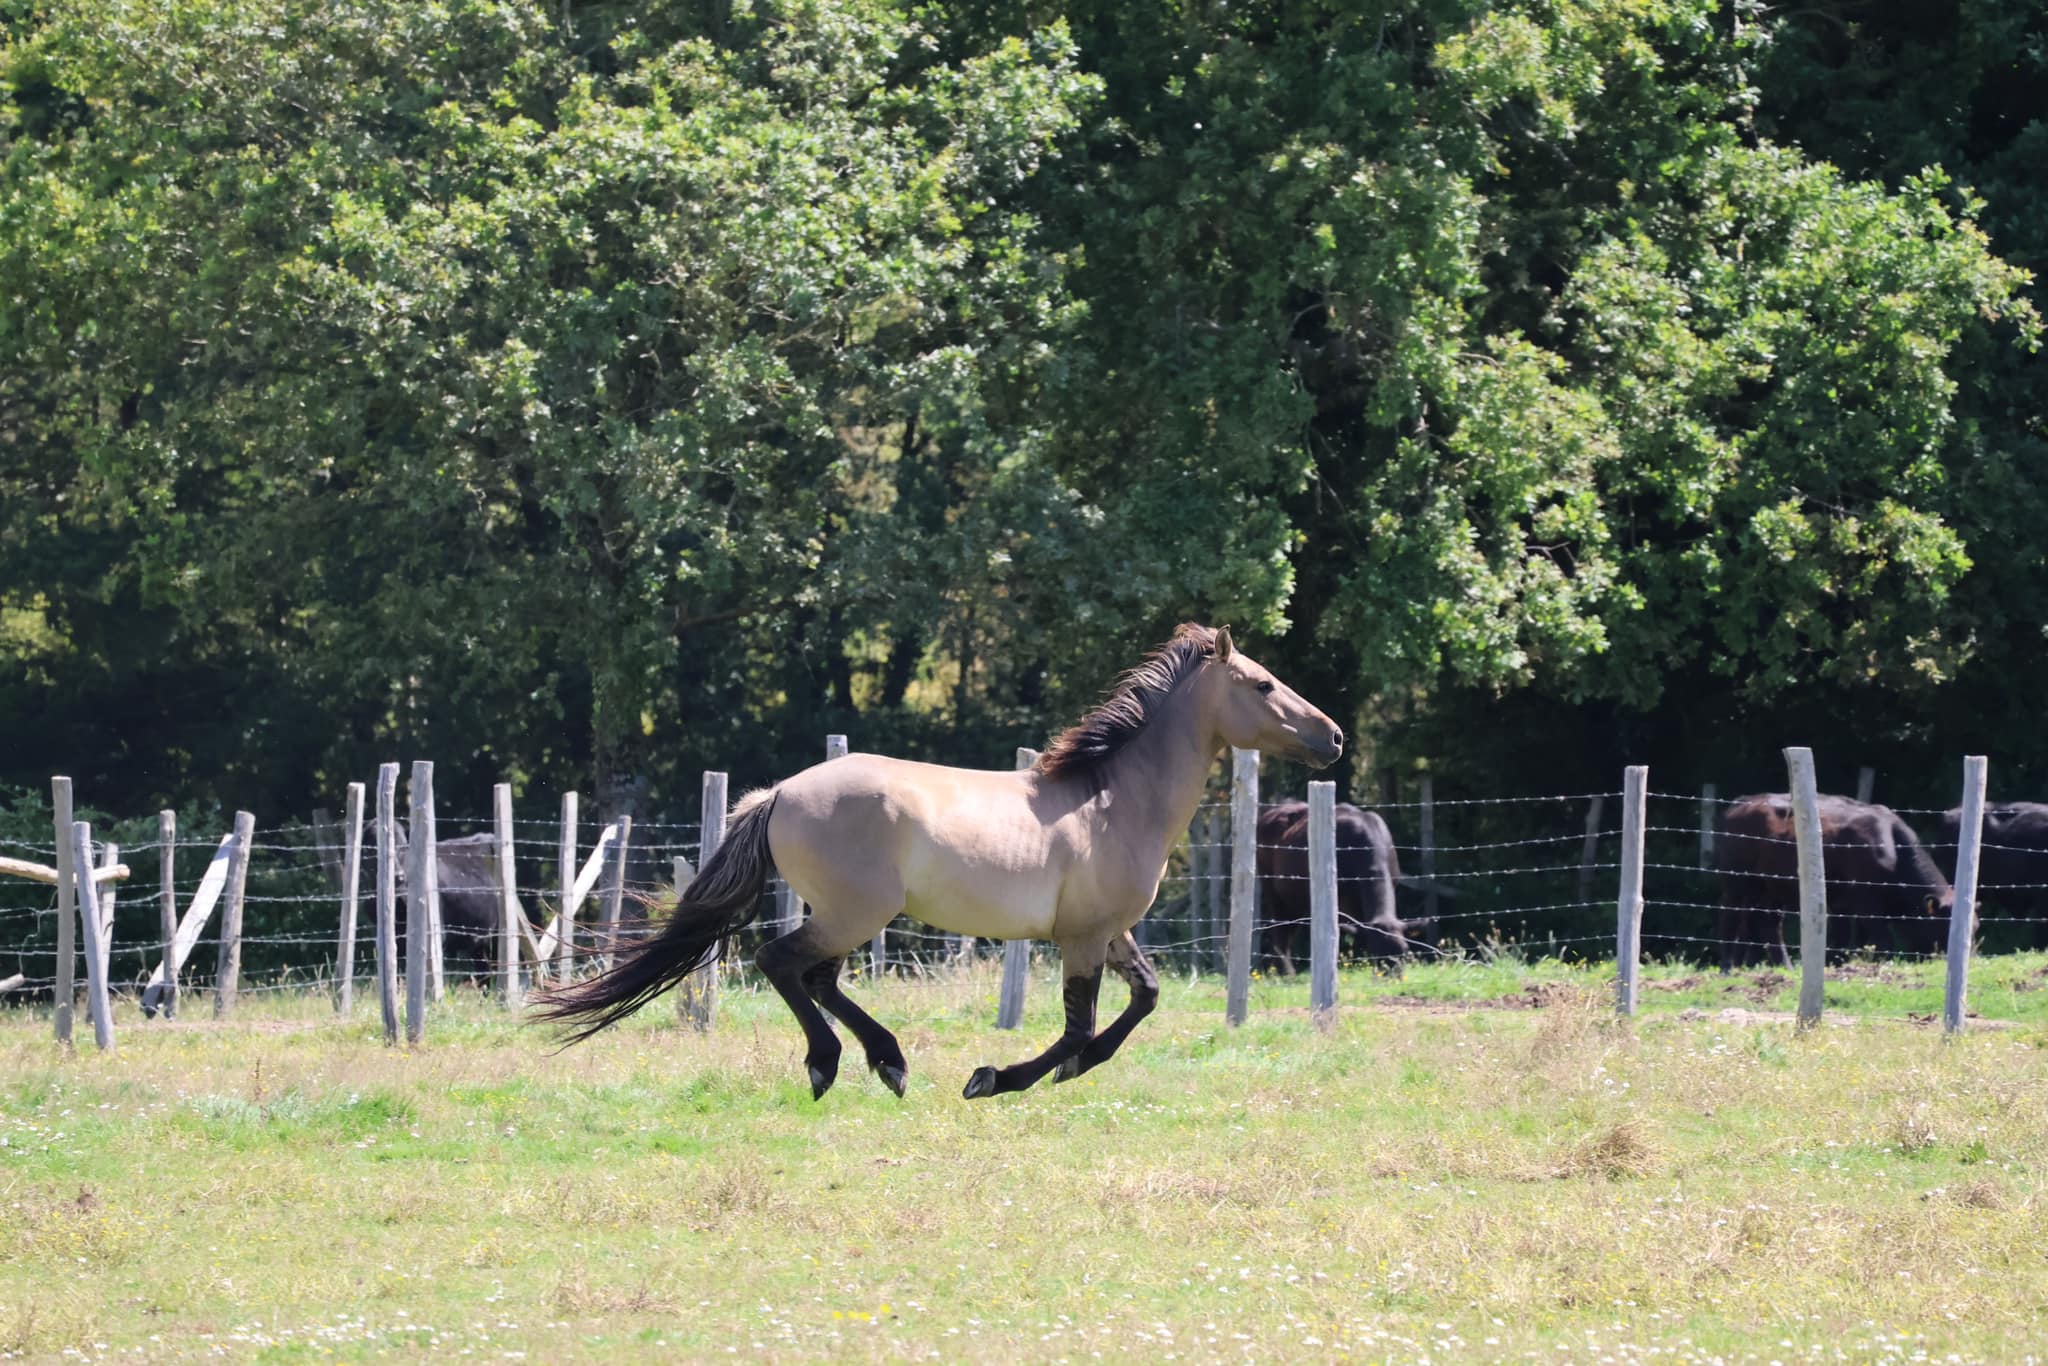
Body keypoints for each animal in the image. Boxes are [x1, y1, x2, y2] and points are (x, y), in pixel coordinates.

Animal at [537, 623, 1343, 1100]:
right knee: (782, 963)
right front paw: (995, 1078)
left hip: (848, 915)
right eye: (1263, 684)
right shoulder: (1081, 938)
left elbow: (1142, 998)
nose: (1332, 736)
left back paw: (885, 1061)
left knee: (816, 978)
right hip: (855, 912)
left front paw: (1066, 1072)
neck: (1111, 800)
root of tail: (780, 793)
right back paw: (833, 1064)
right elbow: (1078, 1027)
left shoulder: (1109, 931)